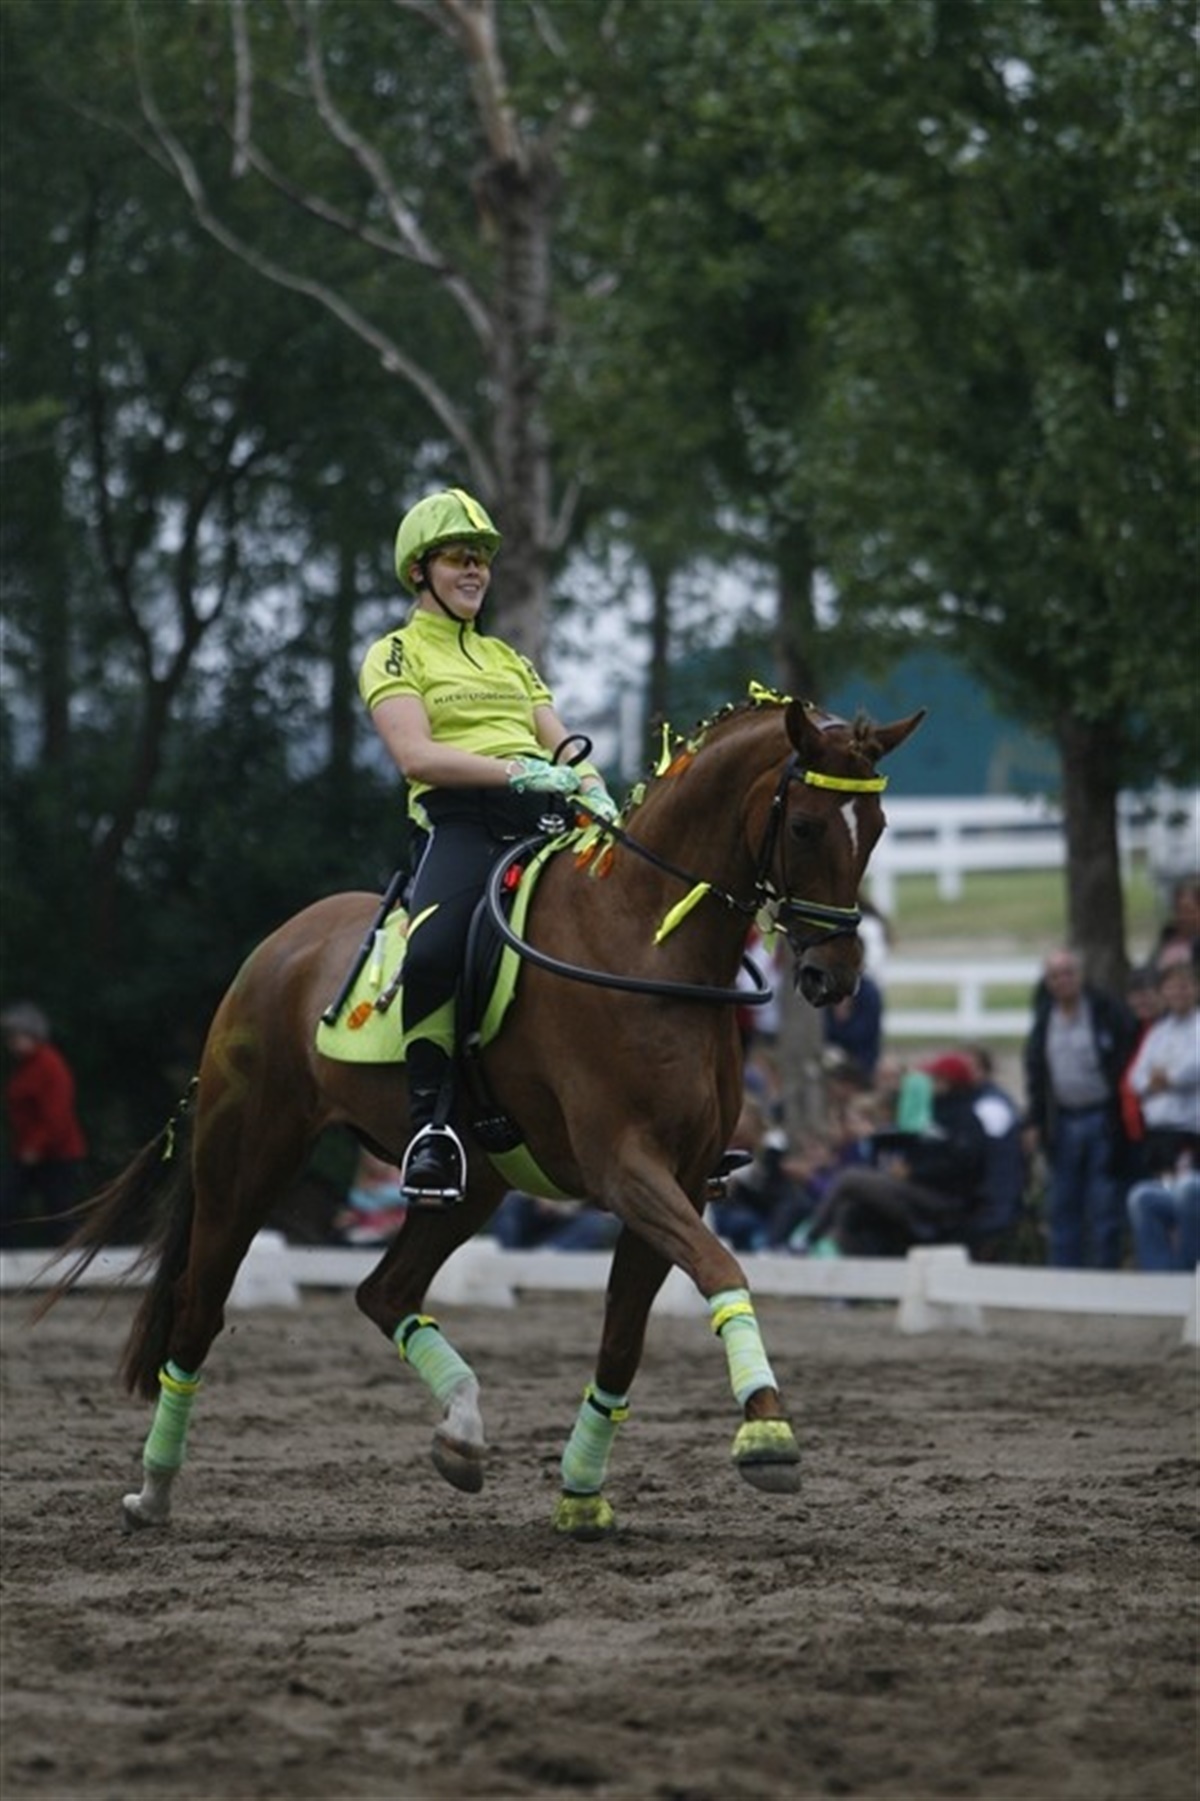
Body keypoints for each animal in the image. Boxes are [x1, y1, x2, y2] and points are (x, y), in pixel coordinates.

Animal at [39, 688, 923, 1539]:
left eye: (877, 828)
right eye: (805, 824)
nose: (835, 977)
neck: (645, 938)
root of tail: (275, 948)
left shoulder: (683, 1177)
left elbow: (624, 1340)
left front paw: (581, 1494)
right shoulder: (625, 1167)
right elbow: (723, 1270)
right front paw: (767, 1433)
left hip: (472, 1185)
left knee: (383, 1292)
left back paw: (461, 1431)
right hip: (247, 1161)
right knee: (198, 1311)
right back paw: (152, 1493)